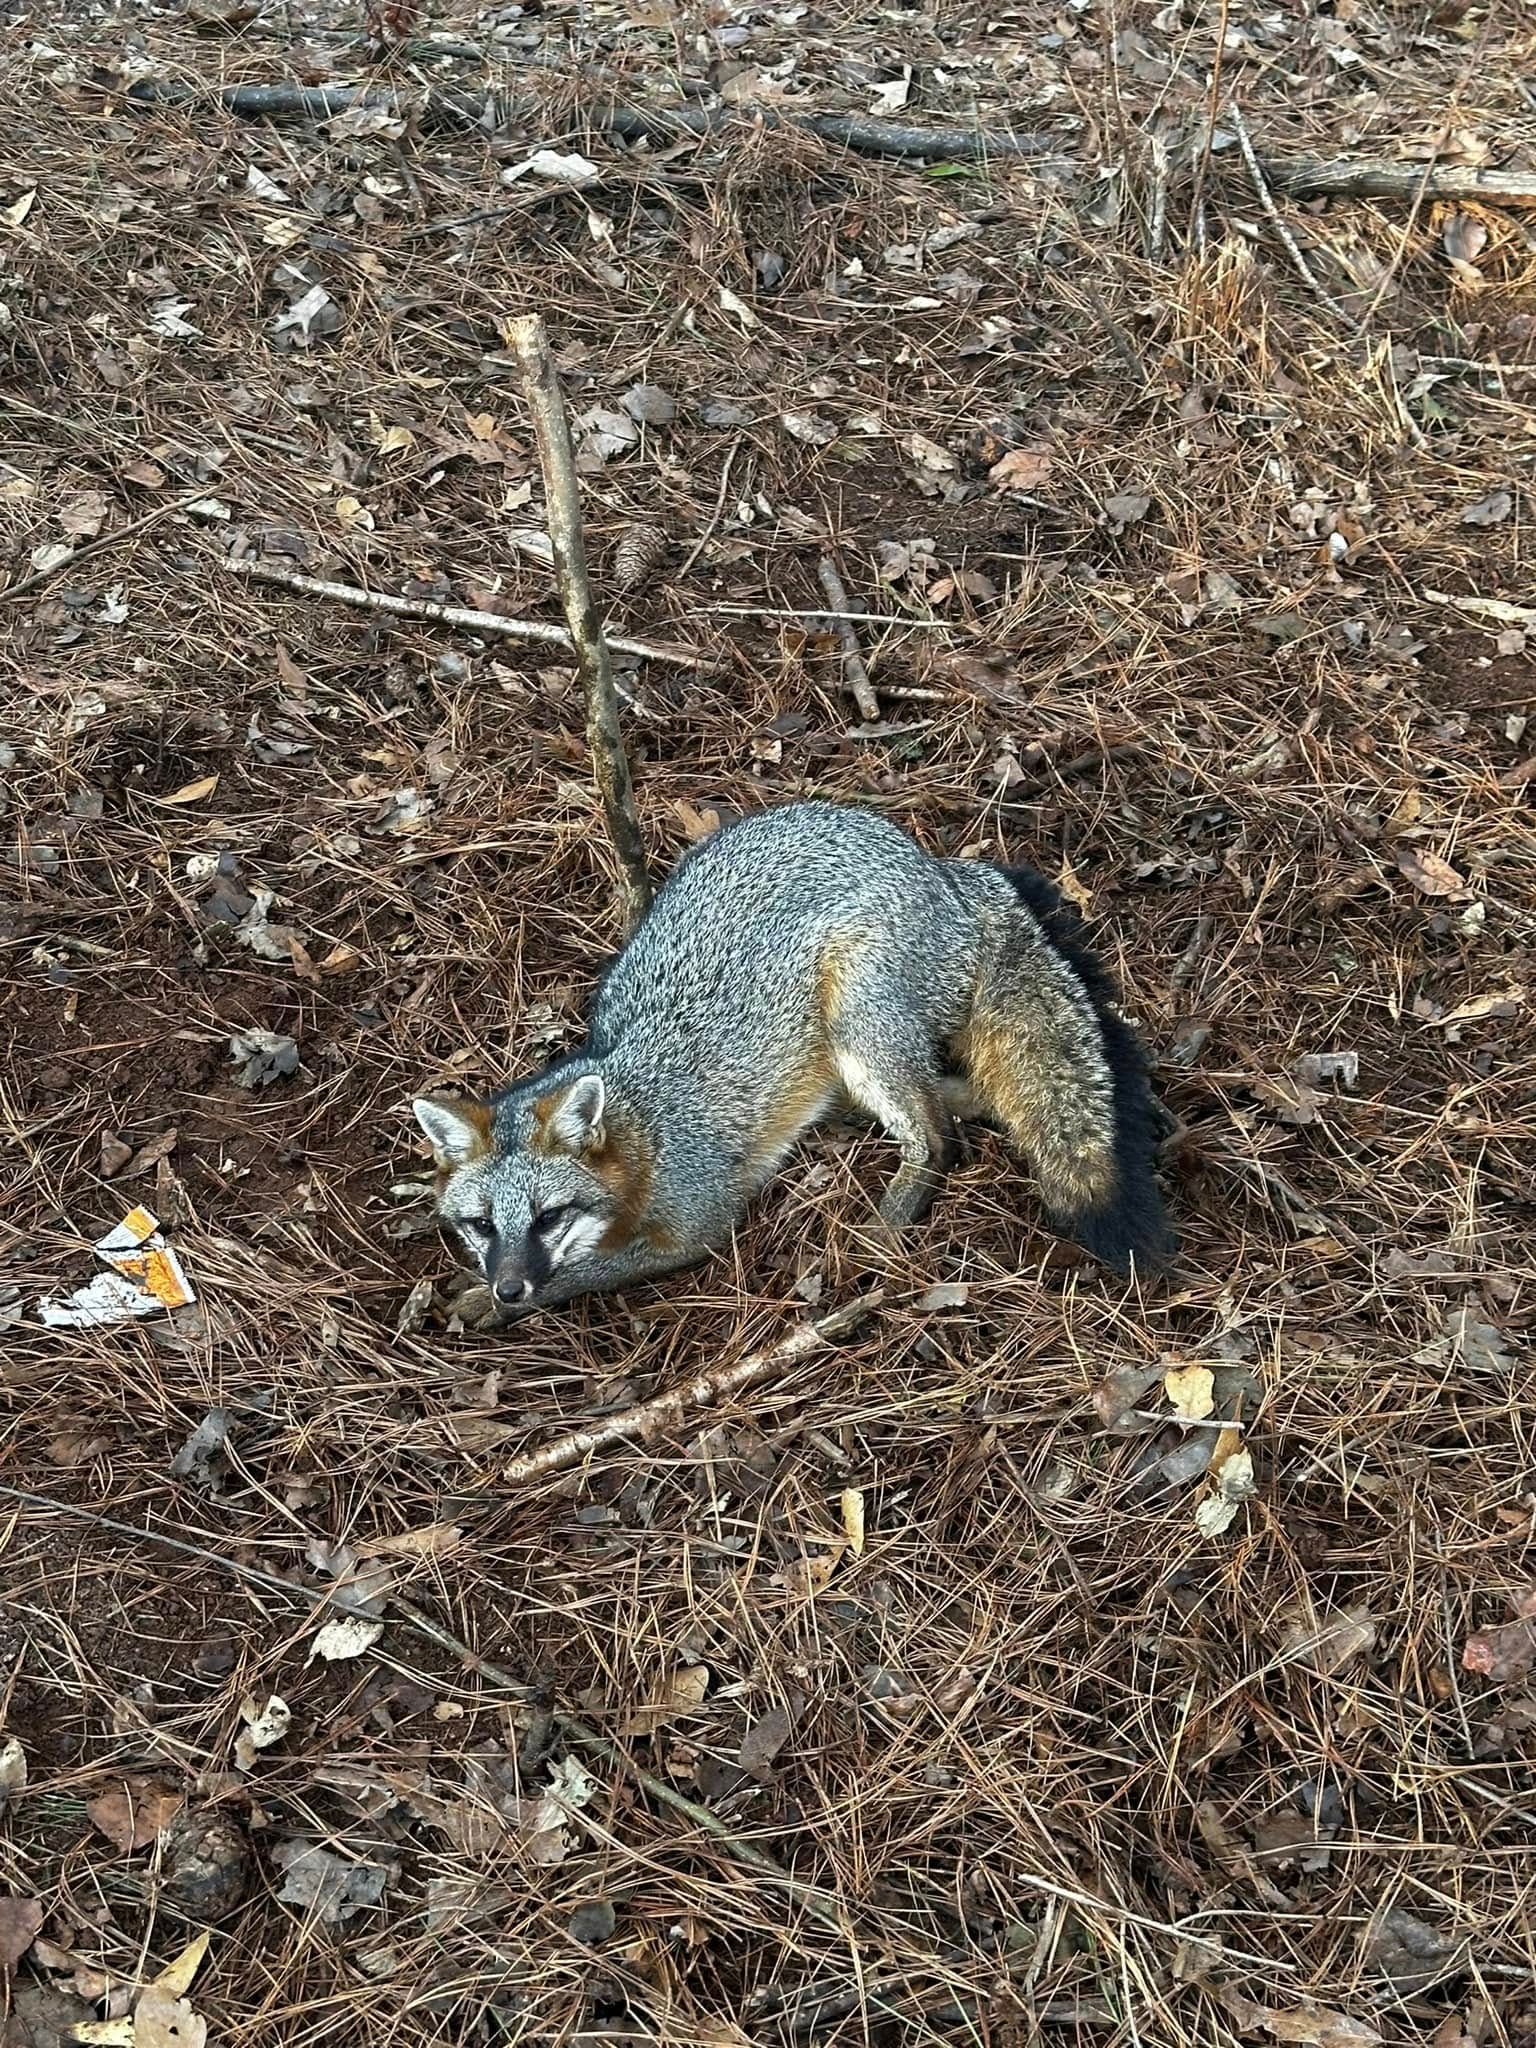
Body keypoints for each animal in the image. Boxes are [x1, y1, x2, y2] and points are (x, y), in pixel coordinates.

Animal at [412, 801, 1175, 1315]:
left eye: (547, 1218)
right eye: (481, 1225)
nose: (509, 1284)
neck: (643, 1133)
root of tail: (945, 873)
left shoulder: (696, 1227)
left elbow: (586, 1272)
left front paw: (495, 1304)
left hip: (858, 1025)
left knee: (936, 1135)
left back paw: (886, 1224)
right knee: (972, 1096)